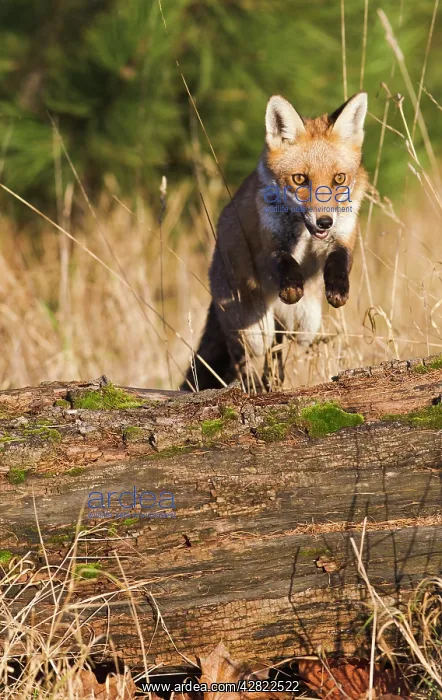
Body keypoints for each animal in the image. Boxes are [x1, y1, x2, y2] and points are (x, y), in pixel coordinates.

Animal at [181, 91, 368, 392]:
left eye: (339, 179)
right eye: (299, 179)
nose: (324, 222)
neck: (304, 233)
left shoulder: (344, 236)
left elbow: (339, 261)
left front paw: (338, 290)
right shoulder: (270, 241)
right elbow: (284, 260)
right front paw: (291, 285)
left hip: (303, 325)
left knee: (277, 356)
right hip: (255, 330)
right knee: (242, 358)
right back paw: (251, 387)